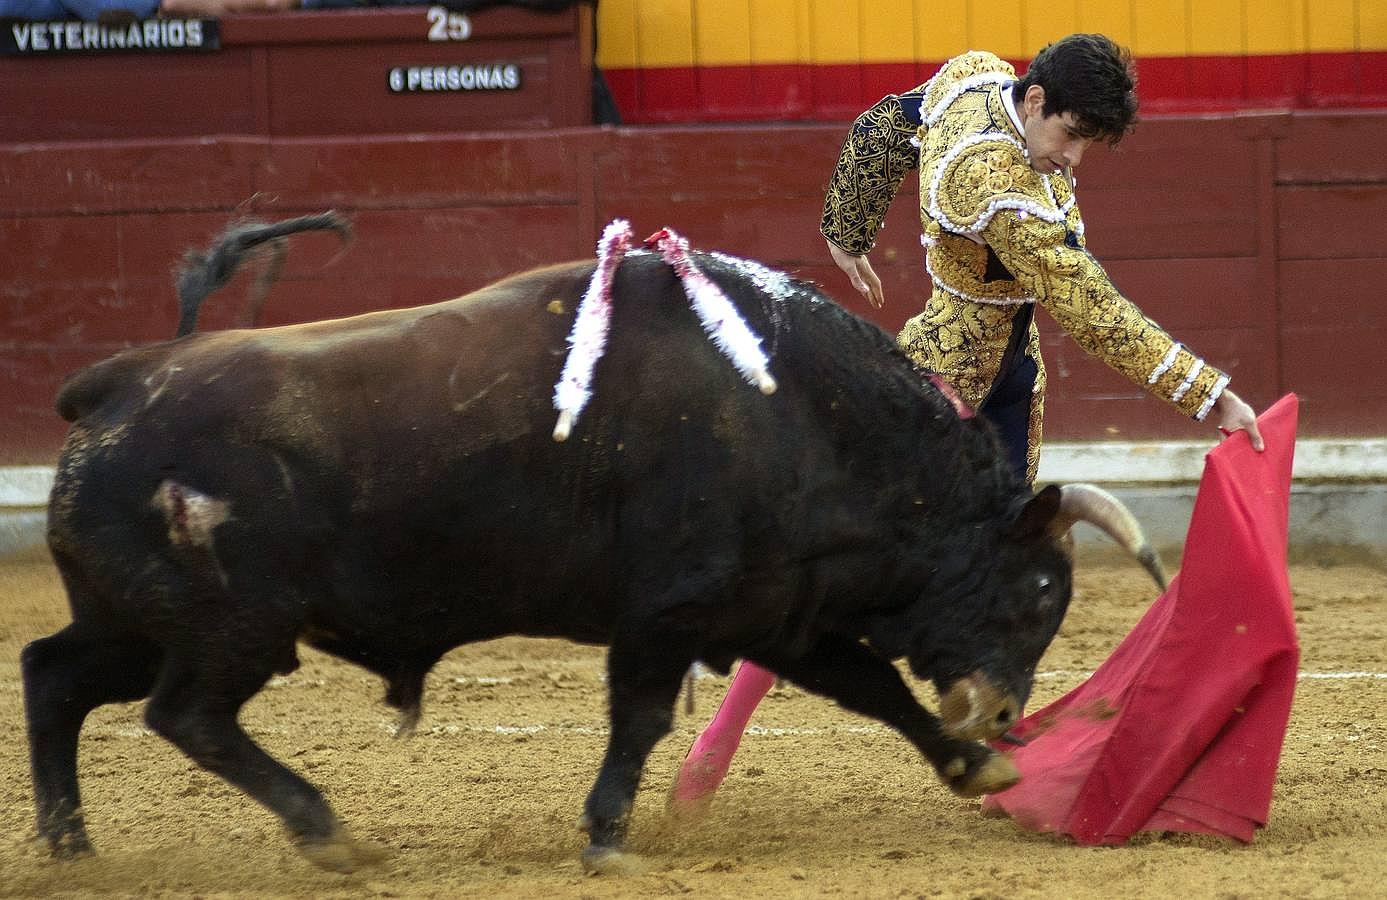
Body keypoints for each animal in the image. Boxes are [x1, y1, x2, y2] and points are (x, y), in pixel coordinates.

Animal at [21, 210, 1159, 870]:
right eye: (1037, 593)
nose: (1003, 713)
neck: (799, 413)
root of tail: (117, 381)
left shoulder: (775, 613)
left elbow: (870, 688)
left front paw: (975, 768)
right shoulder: (669, 614)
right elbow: (642, 719)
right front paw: (609, 837)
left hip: (135, 619)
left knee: (53, 674)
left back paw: (73, 844)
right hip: (233, 629)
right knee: (185, 715)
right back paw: (324, 830)